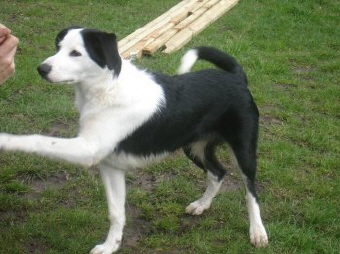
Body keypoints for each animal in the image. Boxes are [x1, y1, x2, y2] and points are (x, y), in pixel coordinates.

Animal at [0, 26, 268, 253]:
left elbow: (39, 140)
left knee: (250, 191)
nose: (41, 69)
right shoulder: (110, 166)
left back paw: (257, 232)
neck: (106, 87)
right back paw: (202, 205)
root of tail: (235, 77)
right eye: (58, 48)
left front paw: (6, 139)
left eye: (76, 53)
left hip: (244, 150)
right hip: (195, 147)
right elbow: (116, 213)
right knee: (217, 172)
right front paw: (111, 246)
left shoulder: (88, 149)